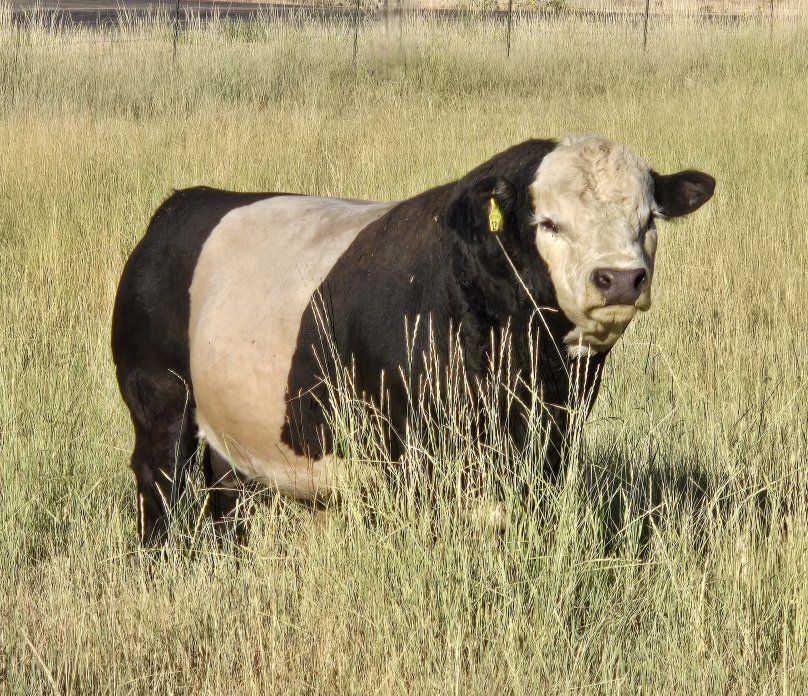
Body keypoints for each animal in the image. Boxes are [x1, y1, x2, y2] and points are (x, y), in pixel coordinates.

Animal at [111, 135, 715, 546]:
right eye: (547, 223)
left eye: (649, 219)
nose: (620, 278)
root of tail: (184, 203)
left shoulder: (549, 439)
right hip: (159, 396)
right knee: (158, 478)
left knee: (225, 493)